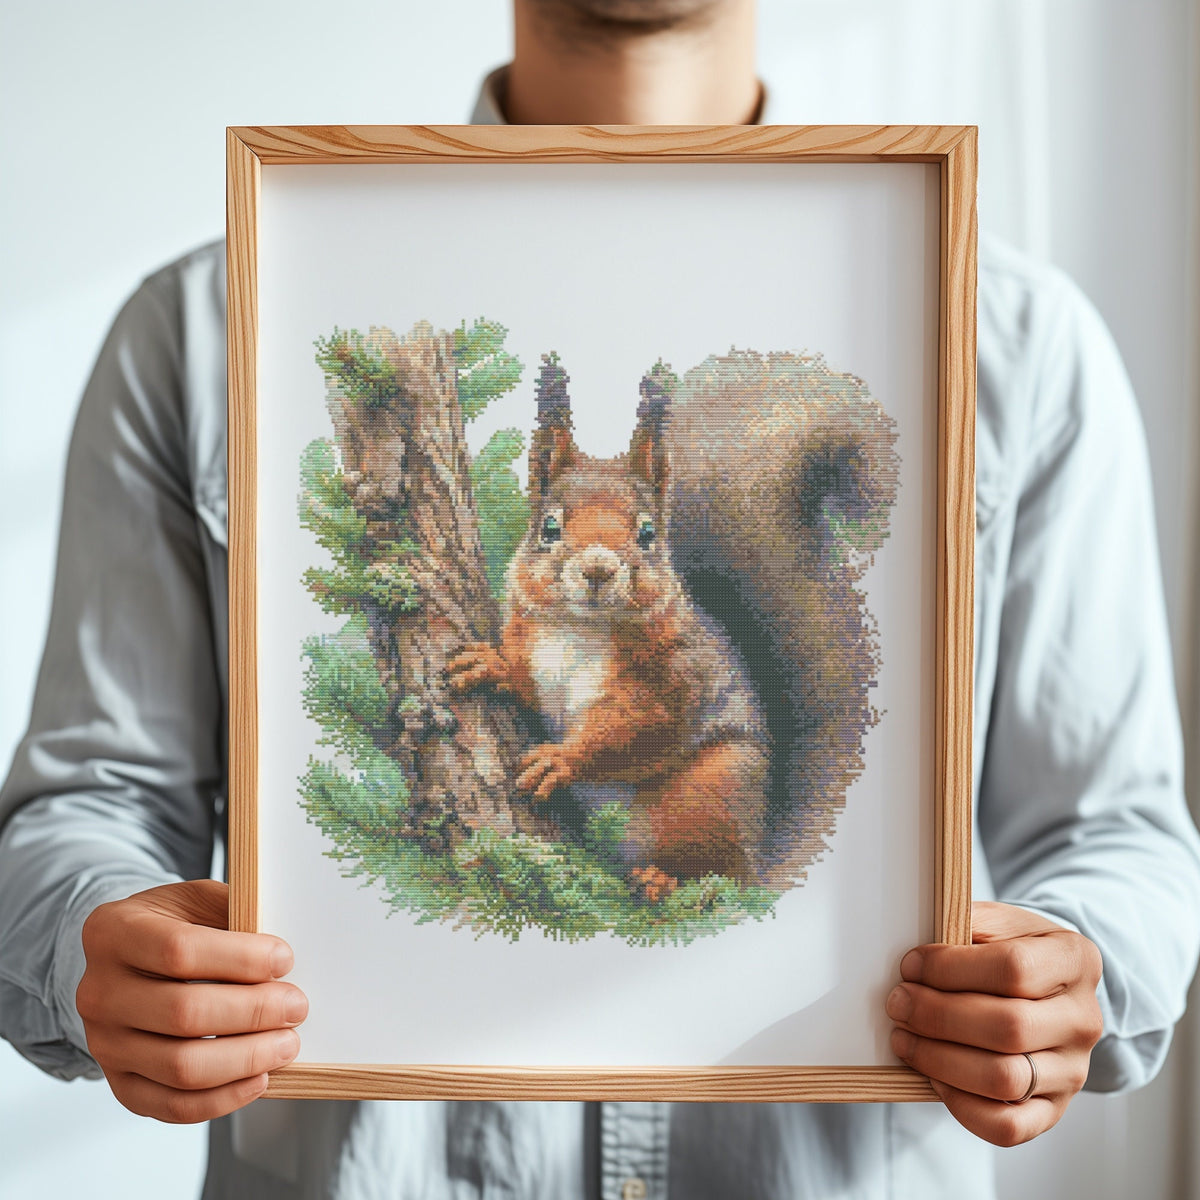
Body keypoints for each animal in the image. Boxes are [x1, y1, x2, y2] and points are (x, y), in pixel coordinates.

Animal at [450, 349, 900, 895]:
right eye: (549, 527)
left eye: (647, 534)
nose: (597, 569)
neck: (579, 629)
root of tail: (759, 861)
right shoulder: (532, 642)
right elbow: (526, 683)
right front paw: (488, 665)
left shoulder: (676, 681)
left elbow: (635, 728)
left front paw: (562, 758)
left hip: (708, 794)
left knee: (712, 871)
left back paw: (662, 879)